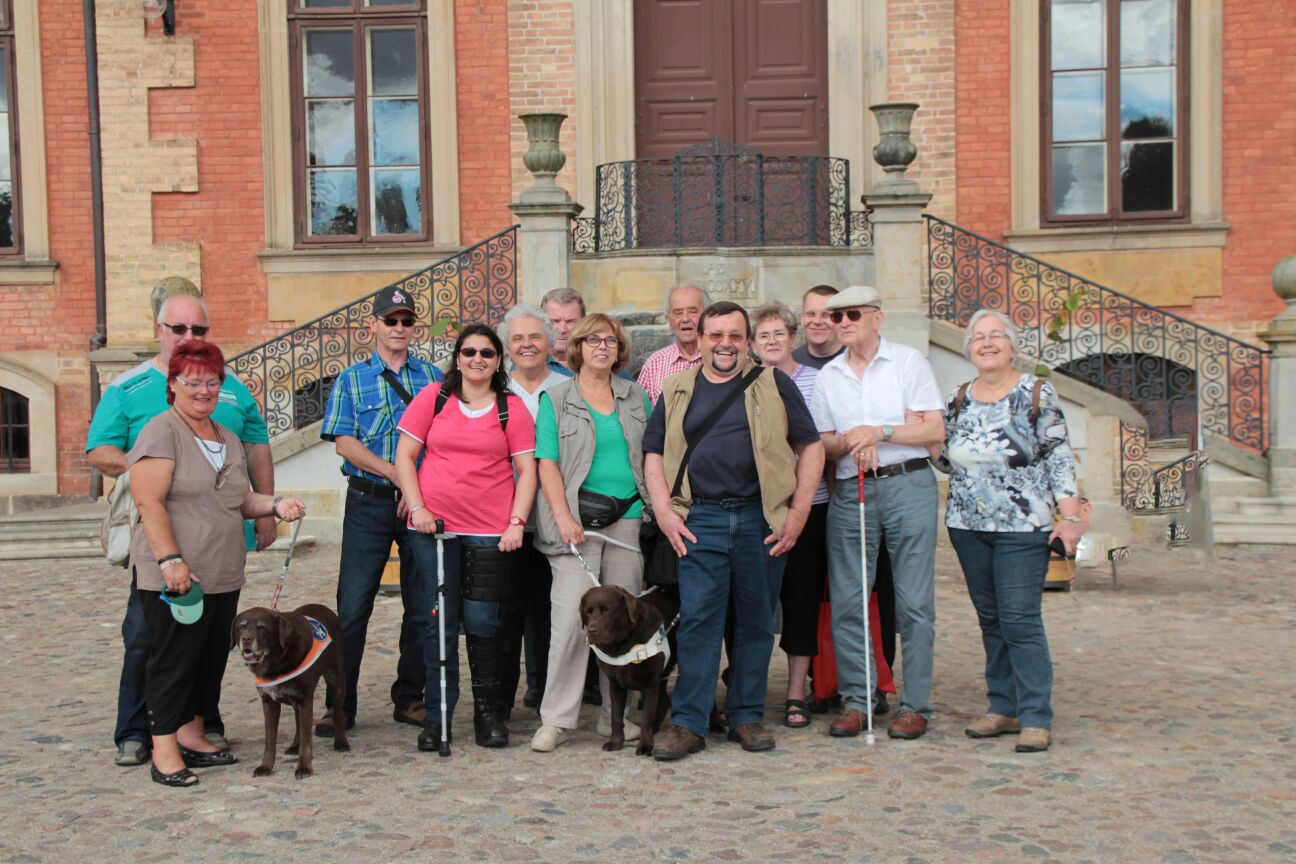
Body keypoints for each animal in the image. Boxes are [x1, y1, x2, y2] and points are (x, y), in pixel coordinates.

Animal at [229, 606, 347, 782]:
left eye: (262, 627)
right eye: (241, 626)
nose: (246, 639)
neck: (274, 663)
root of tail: (325, 608)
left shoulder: (305, 699)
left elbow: (306, 739)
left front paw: (304, 767)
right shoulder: (269, 703)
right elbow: (270, 741)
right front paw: (265, 766)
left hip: (337, 682)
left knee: (338, 713)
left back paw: (341, 743)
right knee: (298, 722)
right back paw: (294, 745)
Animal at [578, 580, 679, 756]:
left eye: (606, 610)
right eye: (587, 611)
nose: (592, 631)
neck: (623, 645)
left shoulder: (650, 685)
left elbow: (647, 717)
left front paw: (645, 745)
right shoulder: (615, 684)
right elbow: (616, 717)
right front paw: (615, 742)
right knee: (664, 701)